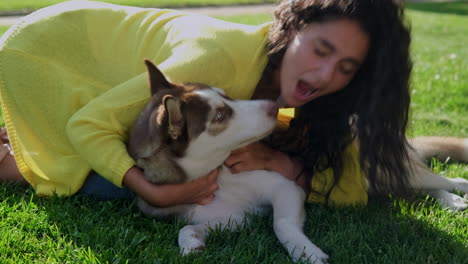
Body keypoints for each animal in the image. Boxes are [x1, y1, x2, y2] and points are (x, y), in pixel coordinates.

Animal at [130, 58, 468, 262]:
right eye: (221, 115)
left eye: (226, 96)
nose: (274, 106)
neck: (209, 174)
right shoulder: (232, 218)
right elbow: (187, 228)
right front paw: (191, 244)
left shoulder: (285, 188)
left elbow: (281, 224)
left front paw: (306, 252)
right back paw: (448, 200)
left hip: (377, 170)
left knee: (435, 178)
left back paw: (456, 192)